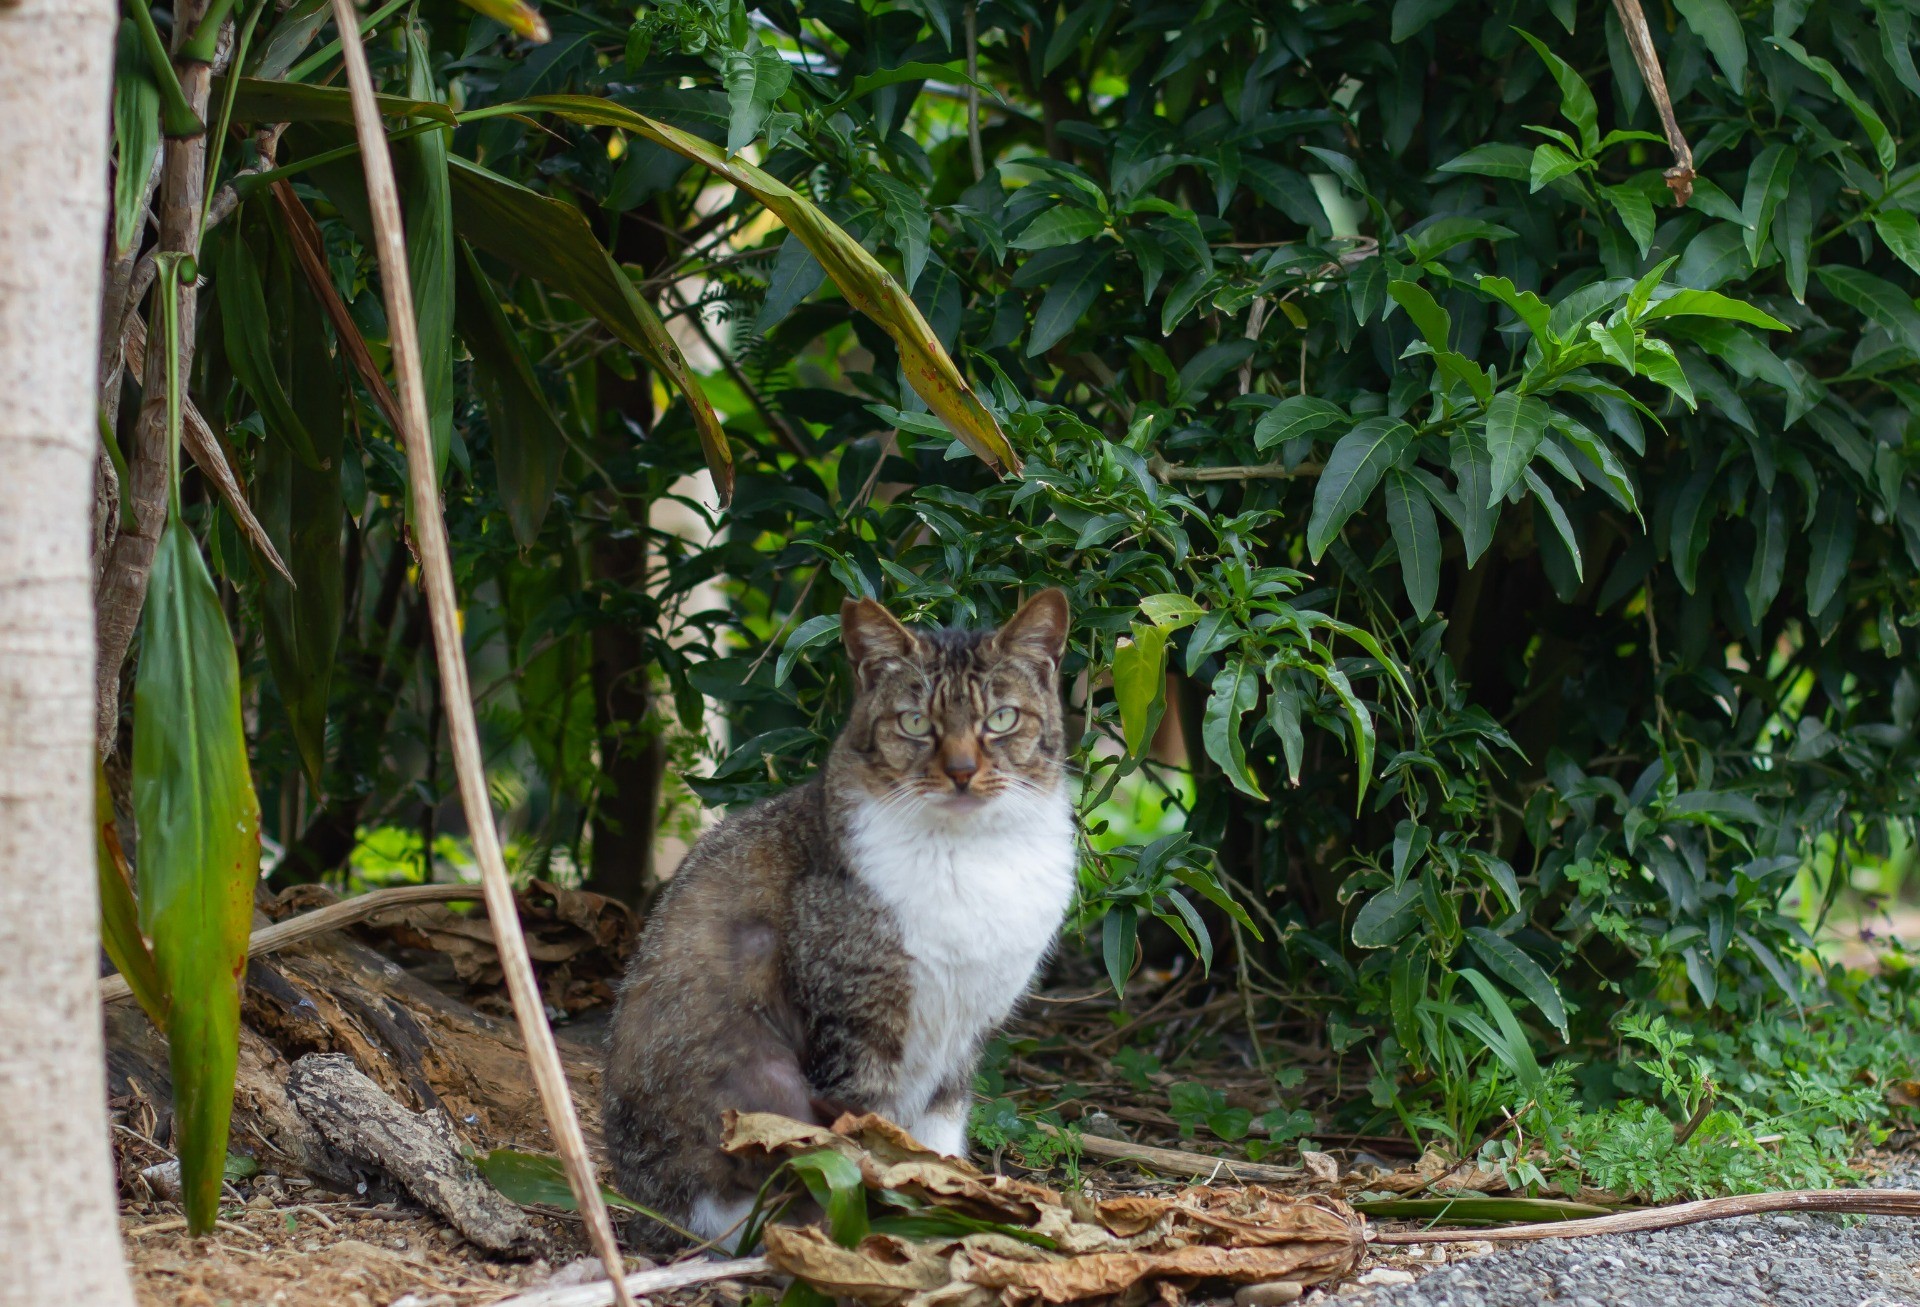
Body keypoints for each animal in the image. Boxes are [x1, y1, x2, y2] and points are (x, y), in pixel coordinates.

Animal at [602, 587, 1082, 1243]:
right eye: (915, 723)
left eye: (1002, 719)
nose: (961, 771)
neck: (970, 853)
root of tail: (649, 1204)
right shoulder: (855, 1026)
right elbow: (871, 1138)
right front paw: (893, 1215)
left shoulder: (964, 1030)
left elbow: (940, 1127)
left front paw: (951, 1195)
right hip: (761, 1078)